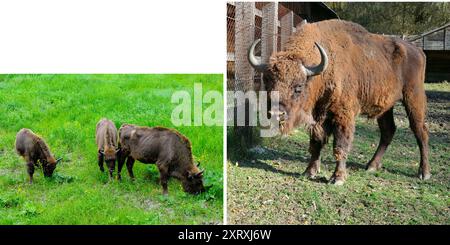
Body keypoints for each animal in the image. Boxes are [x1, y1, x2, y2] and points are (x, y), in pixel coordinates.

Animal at [248, 19, 430, 184]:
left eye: (298, 87)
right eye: (268, 83)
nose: (276, 113)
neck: (321, 72)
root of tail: (417, 51)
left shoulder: (343, 115)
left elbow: (340, 144)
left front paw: (338, 178)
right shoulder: (318, 117)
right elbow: (316, 143)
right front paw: (309, 172)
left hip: (413, 98)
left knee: (420, 132)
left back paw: (424, 173)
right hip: (386, 107)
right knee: (388, 131)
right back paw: (371, 166)